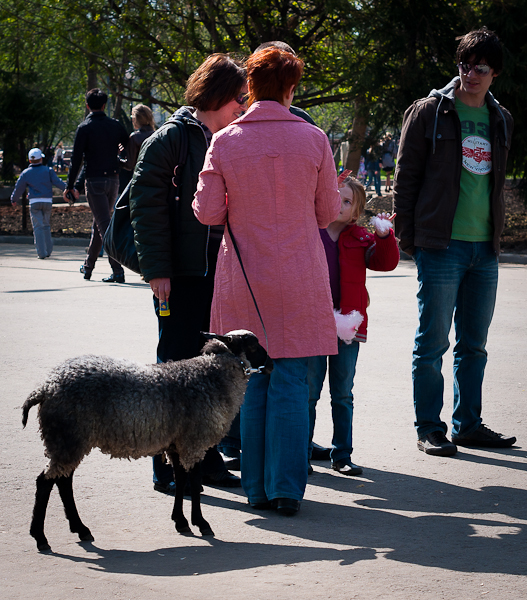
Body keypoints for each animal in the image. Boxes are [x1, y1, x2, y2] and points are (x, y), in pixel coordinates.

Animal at [22, 330, 272, 552]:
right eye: (253, 345)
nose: (271, 365)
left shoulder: (177, 444)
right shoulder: (193, 442)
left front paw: (181, 522)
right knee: (45, 481)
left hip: (68, 440)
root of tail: (46, 387)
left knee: (63, 481)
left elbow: (181, 480)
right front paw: (201, 524)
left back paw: (80, 529)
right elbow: (193, 481)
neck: (210, 376)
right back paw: (41, 538)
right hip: (68, 437)